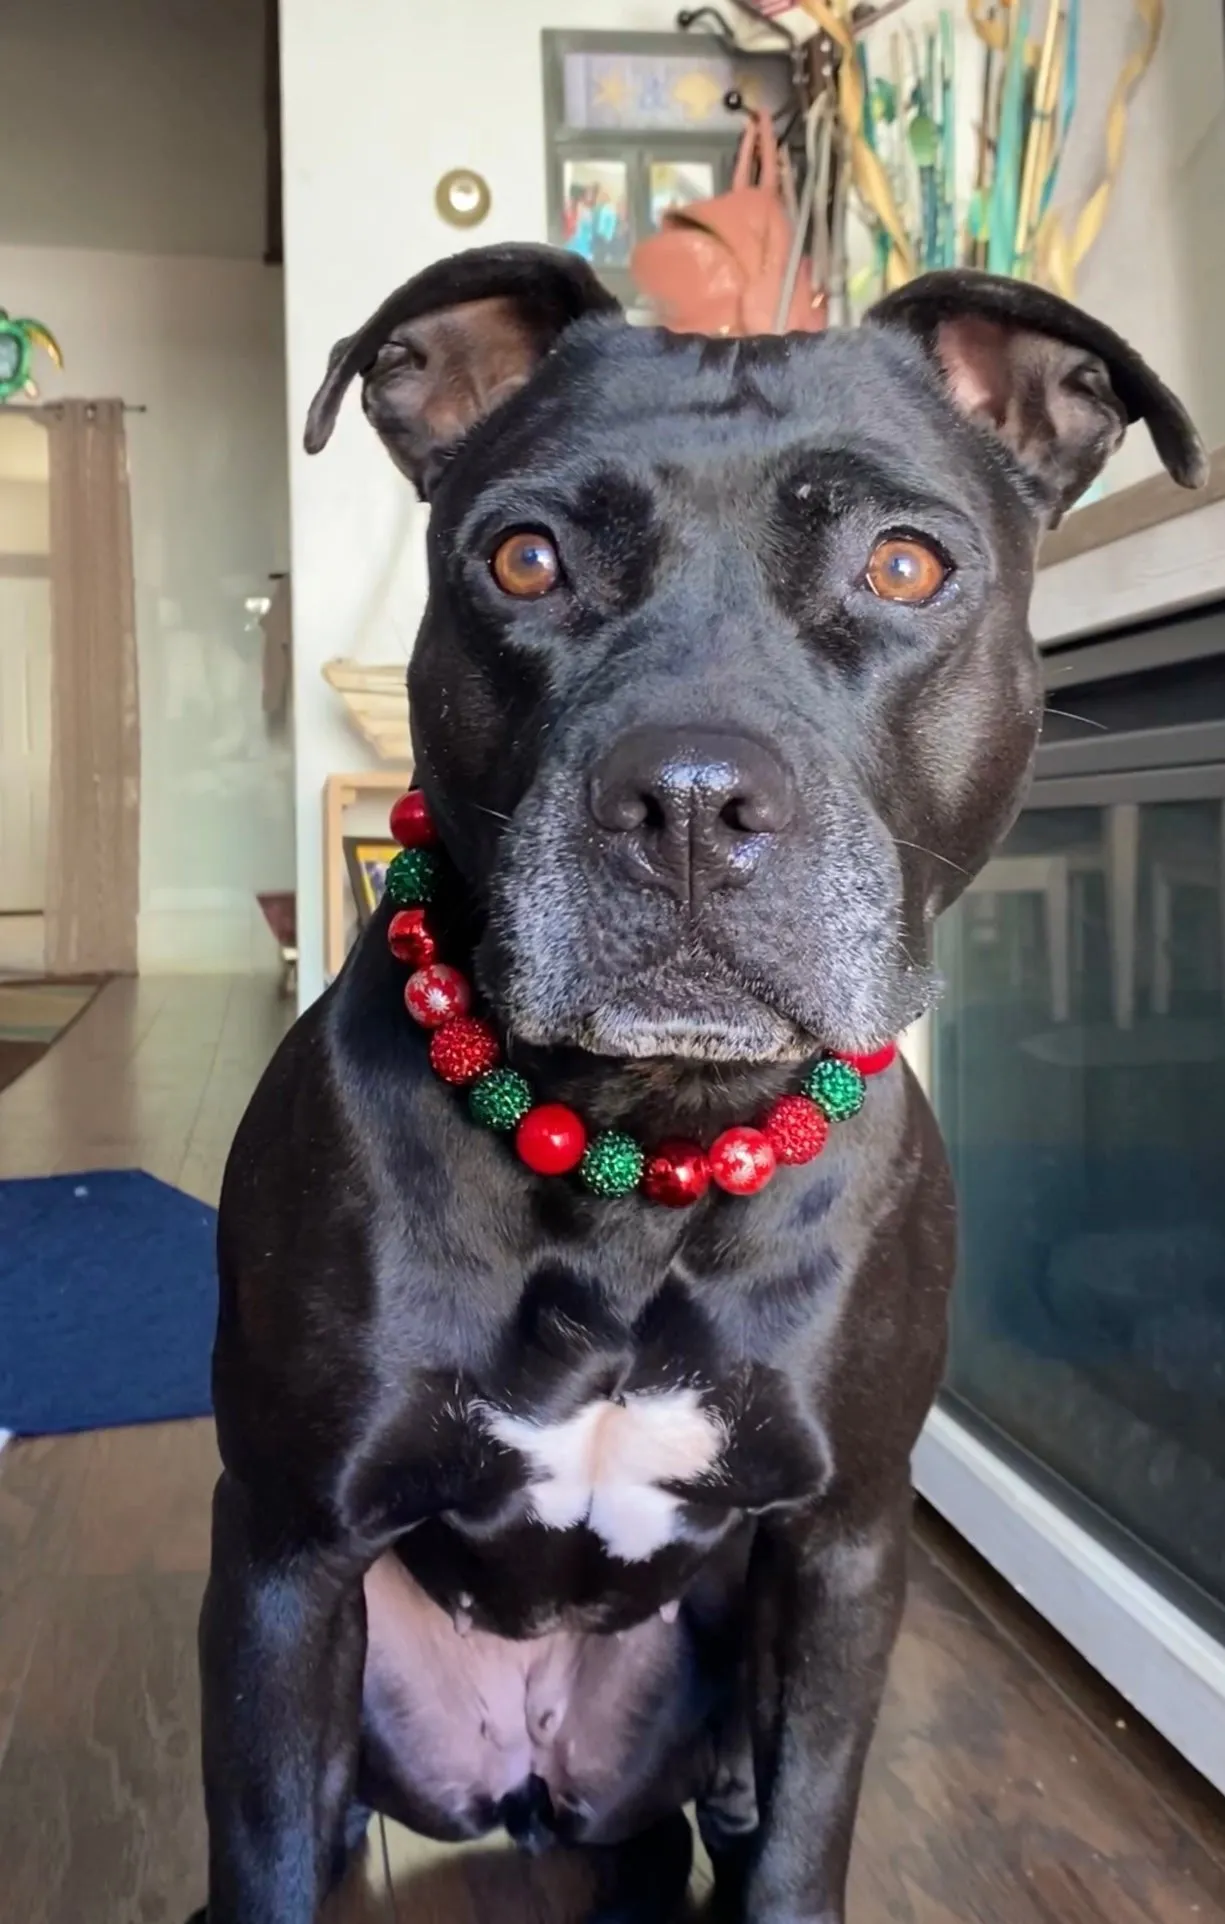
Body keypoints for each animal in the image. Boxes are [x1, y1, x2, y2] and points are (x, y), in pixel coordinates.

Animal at [193, 244, 1207, 1924]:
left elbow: (803, 1841)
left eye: (905, 567)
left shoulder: (845, 1549)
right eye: (524, 559)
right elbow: (263, 1856)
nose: (684, 798)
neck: (642, 1145)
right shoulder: (283, 1556)